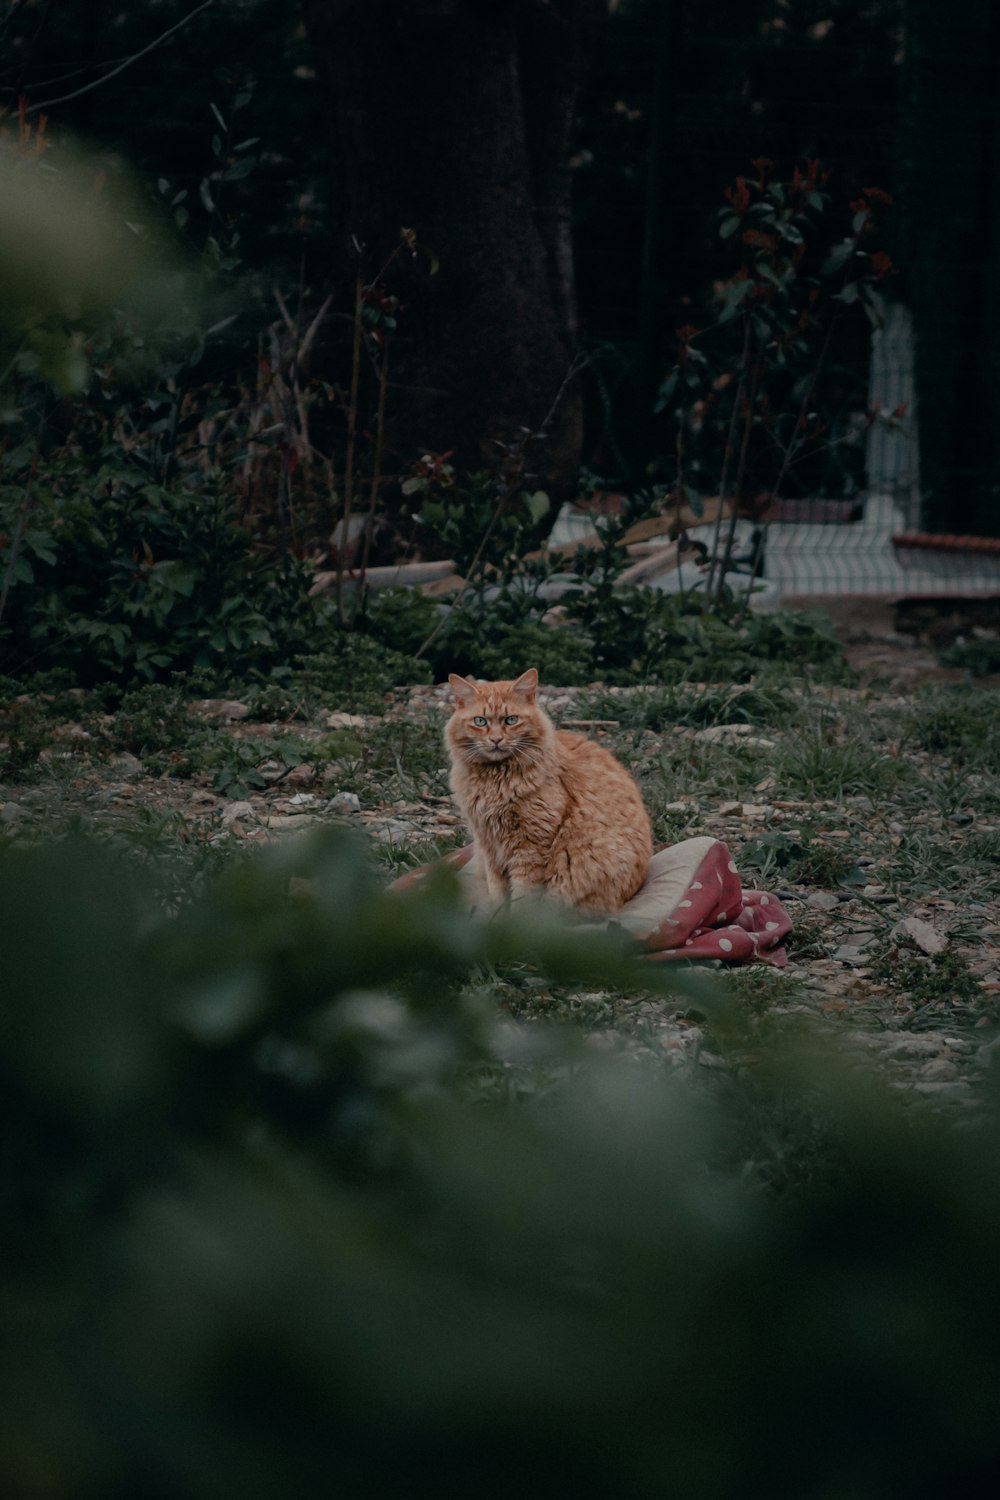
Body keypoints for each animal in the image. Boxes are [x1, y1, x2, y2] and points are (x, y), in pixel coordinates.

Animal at [446, 672, 656, 912]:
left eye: (511, 720)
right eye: (480, 721)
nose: (496, 740)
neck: (495, 780)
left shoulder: (530, 845)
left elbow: (522, 897)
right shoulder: (488, 844)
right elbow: (497, 892)